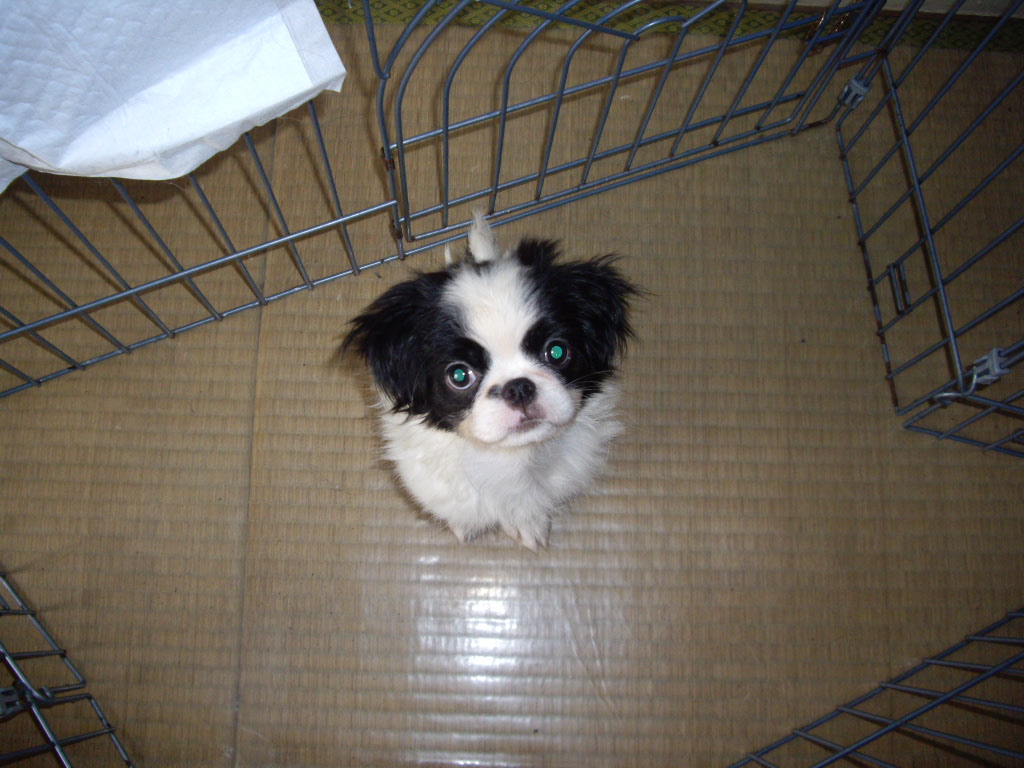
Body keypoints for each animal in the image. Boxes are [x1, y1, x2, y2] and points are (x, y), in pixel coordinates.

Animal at [343, 215, 636, 550]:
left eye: (557, 351)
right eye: (459, 376)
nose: (518, 387)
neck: (513, 457)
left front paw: (529, 525)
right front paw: (463, 527)